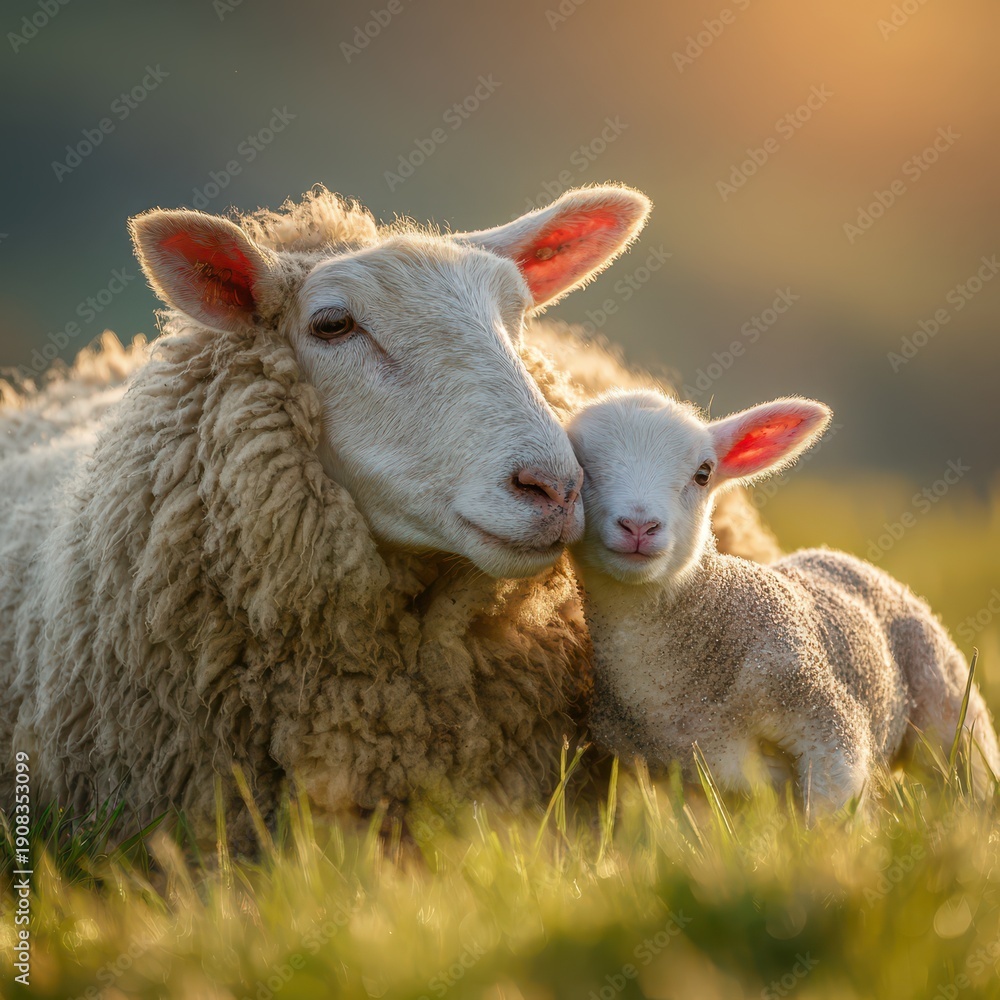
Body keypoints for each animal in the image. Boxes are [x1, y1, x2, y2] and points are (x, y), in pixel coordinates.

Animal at [568, 389, 1000, 807]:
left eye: (703, 473)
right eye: (580, 466)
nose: (639, 525)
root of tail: (832, 556)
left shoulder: (823, 717)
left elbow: (830, 810)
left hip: (948, 705)